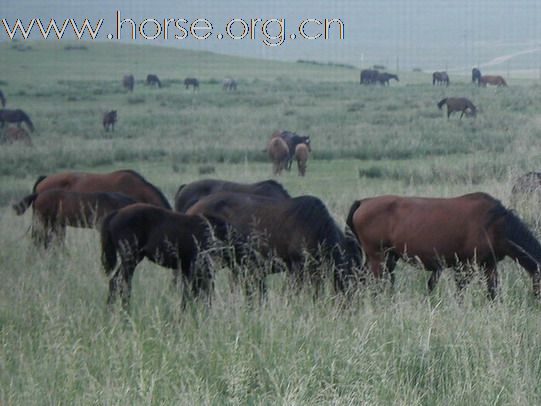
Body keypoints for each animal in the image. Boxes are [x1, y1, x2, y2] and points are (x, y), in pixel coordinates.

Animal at [100, 203, 229, 310]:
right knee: (123, 284)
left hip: (132, 259)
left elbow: (191, 293)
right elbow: (198, 293)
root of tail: (116, 213)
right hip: (130, 259)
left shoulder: (188, 270)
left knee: (115, 281)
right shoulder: (201, 270)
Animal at [346, 192, 540, 300]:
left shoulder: (489, 264)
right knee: (376, 285)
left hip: (386, 258)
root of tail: (363, 202)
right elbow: (461, 291)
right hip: (377, 257)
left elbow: (493, 292)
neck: (494, 224)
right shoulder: (465, 265)